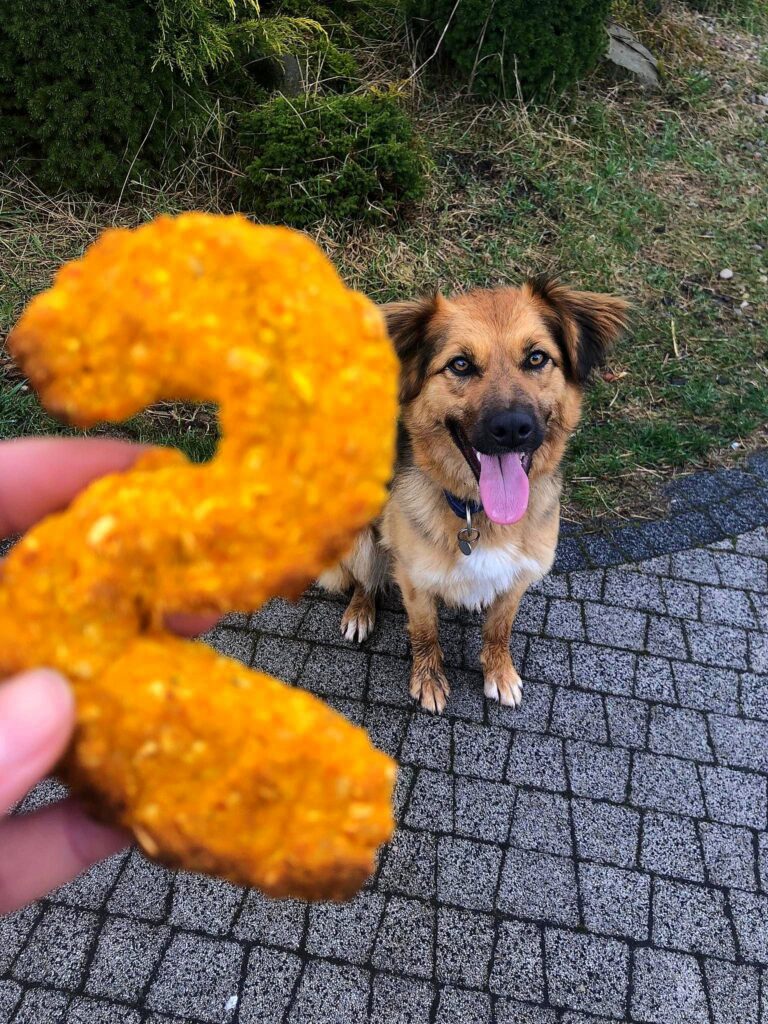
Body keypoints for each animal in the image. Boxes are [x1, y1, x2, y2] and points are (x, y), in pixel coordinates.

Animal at [321, 278, 626, 712]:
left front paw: (499, 673)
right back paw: (360, 612)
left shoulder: (517, 578)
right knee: (365, 578)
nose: (512, 428)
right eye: (461, 364)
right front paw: (428, 681)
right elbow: (425, 634)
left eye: (536, 358)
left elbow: (499, 630)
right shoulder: (415, 580)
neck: (476, 512)